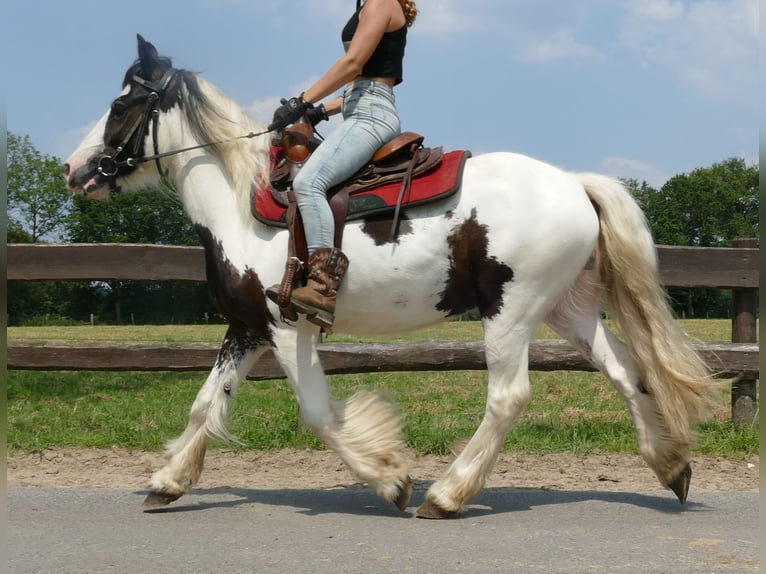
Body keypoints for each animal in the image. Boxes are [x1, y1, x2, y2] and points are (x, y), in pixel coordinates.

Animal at [63, 37, 716, 520]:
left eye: (120, 107)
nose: (73, 169)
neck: (240, 205)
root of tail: (576, 184)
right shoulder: (246, 327)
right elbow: (205, 404)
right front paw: (168, 482)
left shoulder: (288, 328)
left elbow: (318, 412)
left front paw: (389, 478)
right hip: (568, 309)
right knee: (625, 371)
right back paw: (672, 467)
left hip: (512, 310)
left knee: (509, 396)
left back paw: (447, 495)